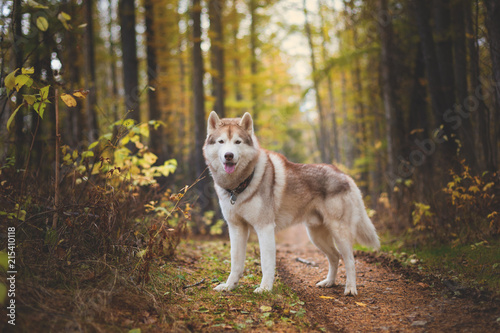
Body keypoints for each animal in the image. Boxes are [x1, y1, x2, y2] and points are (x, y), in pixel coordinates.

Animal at [203, 113, 378, 294]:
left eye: (237, 142)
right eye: (221, 141)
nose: (229, 155)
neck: (239, 186)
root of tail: (345, 175)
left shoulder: (265, 228)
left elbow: (266, 263)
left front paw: (265, 289)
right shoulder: (236, 228)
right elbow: (236, 261)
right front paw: (229, 286)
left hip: (339, 232)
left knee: (350, 260)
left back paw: (350, 289)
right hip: (316, 236)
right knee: (335, 256)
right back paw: (329, 282)